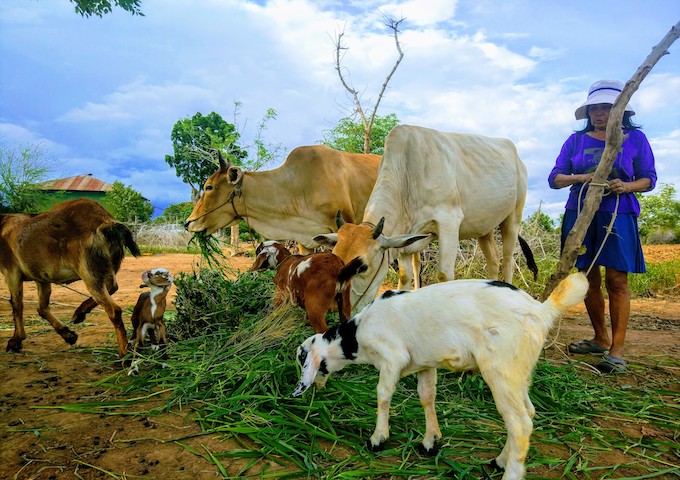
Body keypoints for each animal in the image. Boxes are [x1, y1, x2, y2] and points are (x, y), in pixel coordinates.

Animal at [0, 197, 141, 358]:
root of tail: (105, 221)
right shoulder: (41, 277)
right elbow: (42, 307)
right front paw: (69, 335)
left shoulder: (11, 273)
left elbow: (16, 305)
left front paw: (15, 341)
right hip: (105, 268)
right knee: (112, 287)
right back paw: (79, 313)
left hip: (88, 270)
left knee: (114, 309)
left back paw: (124, 353)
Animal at [314, 125, 536, 310]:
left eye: (362, 267)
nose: (335, 306)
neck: (408, 171)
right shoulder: (405, 239)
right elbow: (405, 276)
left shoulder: (448, 221)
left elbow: (444, 274)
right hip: (484, 228)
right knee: (493, 261)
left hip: (513, 217)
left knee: (507, 259)